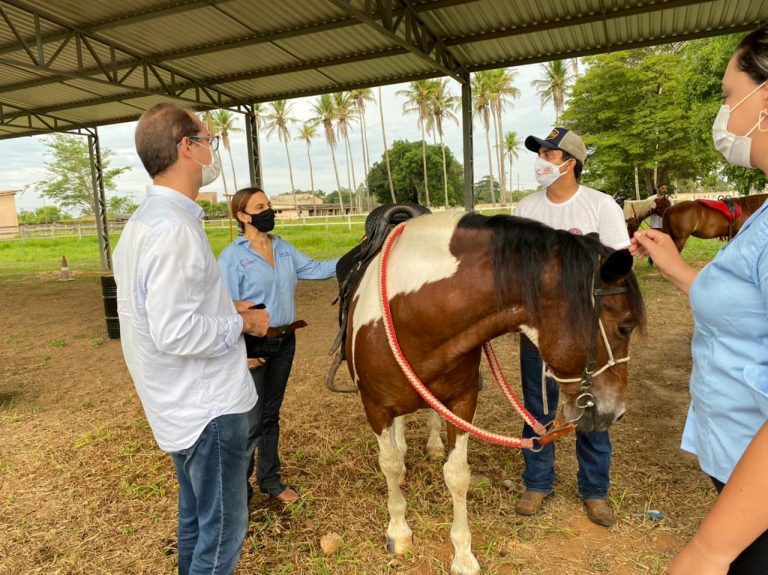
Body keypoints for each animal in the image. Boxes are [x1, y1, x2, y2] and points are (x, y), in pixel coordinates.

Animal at [344, 212, 644, 575]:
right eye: (625, 327)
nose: (617, 412)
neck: (411, 312)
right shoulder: (375, 407)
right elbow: (388, 464)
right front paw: (398, 532)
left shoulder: (461, 403)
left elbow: (457, 475)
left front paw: (462, 555)